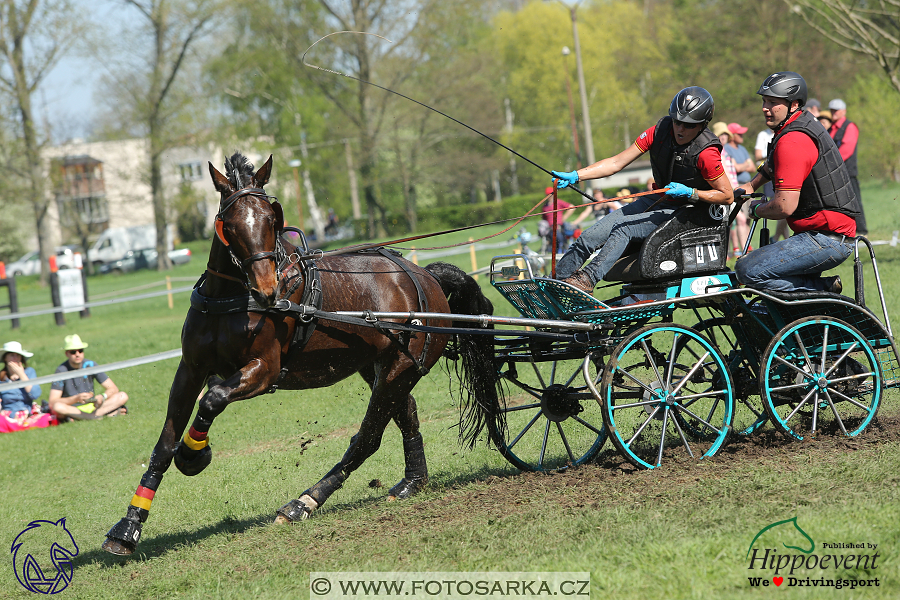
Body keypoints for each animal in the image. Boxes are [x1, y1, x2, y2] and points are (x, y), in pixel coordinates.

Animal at [103, 152, 506, 556]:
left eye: (271, 218)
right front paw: (129, 525)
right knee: (405, 414)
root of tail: (426, 277)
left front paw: (193, 453)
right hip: (385, 367)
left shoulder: (264, 370)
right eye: (228, 224)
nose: (267, 290)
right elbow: (164, 443)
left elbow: (213, 399)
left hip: (400, 368)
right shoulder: (190, 368)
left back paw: (305, 501)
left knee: (368, 437)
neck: (232, 299)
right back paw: (413, 482)